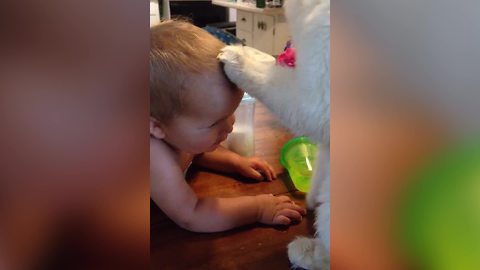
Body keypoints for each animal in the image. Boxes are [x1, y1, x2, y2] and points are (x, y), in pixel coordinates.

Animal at [219, 1, 332, 268]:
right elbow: (318, 170)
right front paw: (310, 198)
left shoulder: (315, 100)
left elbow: (266, 76)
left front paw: (236, 56)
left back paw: (305, 250)